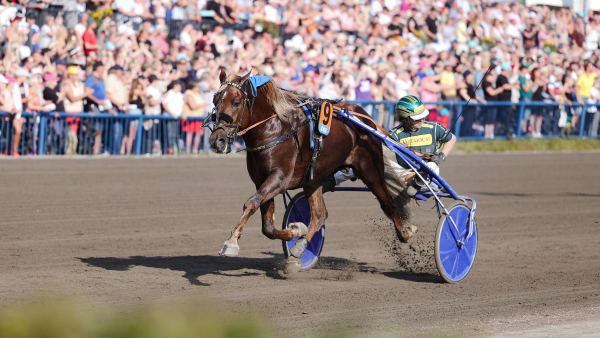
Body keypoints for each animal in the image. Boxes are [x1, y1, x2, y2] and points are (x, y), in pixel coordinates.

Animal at [204, 71, 414, 272]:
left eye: (236, 102)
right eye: (215, 100)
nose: (217, 140)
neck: (275, 129)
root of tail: (364, 117)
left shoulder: (279, 179)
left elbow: (251, 203)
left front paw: (231, 242)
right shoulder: (262, 181)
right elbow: (268, 226)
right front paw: (297, 231)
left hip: (370, 169)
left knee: (387, 201)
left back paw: (405, 231)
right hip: (314, 180)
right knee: (320, 215)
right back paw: (299, 249)